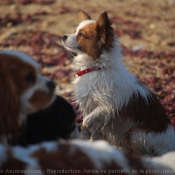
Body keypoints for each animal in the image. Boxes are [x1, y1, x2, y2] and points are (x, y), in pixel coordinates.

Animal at [61, 10, 175, 156]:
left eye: (81, 35)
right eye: (74, 31)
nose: (63, 36)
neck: (97, 68)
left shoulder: (106, 107)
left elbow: (86, 122)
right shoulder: (91, 107)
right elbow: (92, 129)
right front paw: (90, 141)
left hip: (135, 135)